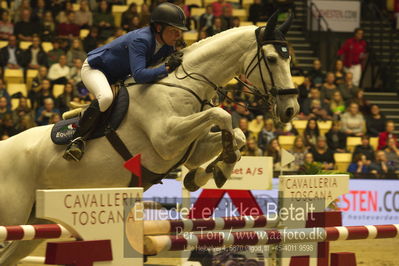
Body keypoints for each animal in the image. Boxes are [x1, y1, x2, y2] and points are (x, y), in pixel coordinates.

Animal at [0, 10, 300, 264]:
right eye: (272, 59)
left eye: (289, 58)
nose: (291, 109)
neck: (185, 84)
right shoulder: (167, 139)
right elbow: (222, 115)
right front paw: (216, 167)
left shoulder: (191, 149)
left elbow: (234, 135)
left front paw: (210, 172)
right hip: (13, 213)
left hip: (33, 224)